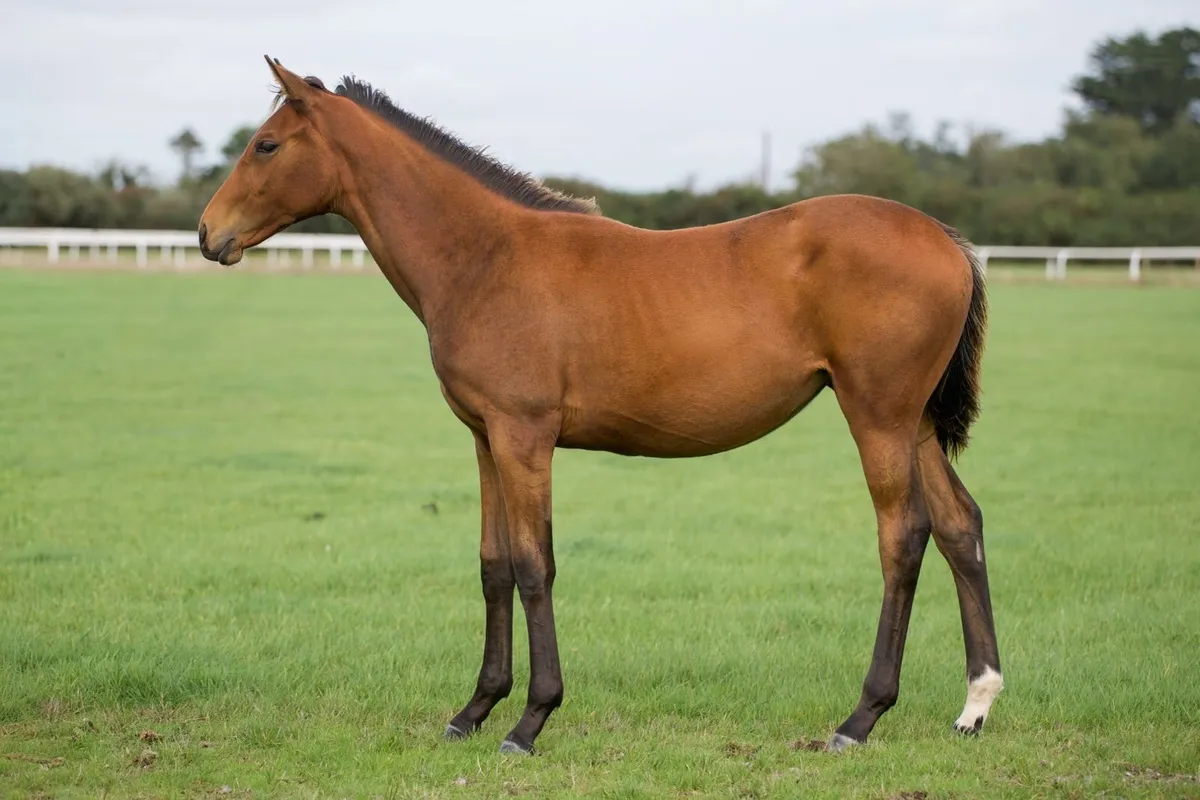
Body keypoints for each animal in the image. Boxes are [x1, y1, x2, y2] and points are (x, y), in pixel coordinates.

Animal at [199, 56, 1003, 755]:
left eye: (267, 144)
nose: (209, 234)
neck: (486, 257)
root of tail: (948, 240)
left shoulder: (524, 437)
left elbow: (534, 566)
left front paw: (530, 721)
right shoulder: (485, 437)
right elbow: (493, 565)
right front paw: (474, 710)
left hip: (878, 418)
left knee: (904, 536)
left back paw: (861, 717)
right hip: (913, 424)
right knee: (960, 525)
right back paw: (975, 704)